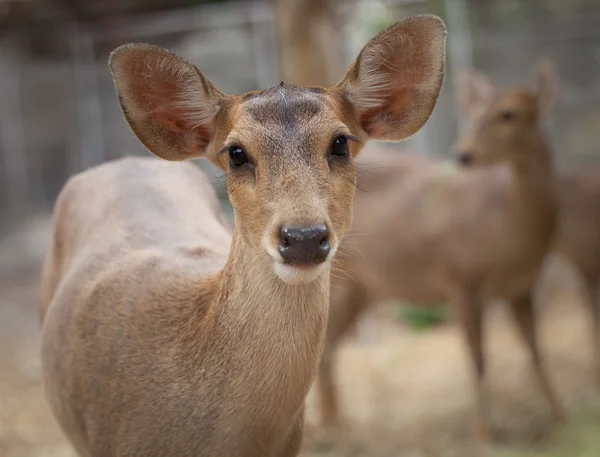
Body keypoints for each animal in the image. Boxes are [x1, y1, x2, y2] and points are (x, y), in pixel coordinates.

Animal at [316, 58, 564, 444]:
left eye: (509, 113)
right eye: (473, 111)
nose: (463, 153)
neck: (507, 226)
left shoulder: (522, 287)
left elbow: (537, 352)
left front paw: (562, 418)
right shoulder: (461, 280)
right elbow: (478, 360)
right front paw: (485, 436)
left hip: (363, 288)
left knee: (328, 349)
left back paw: (337, 427)